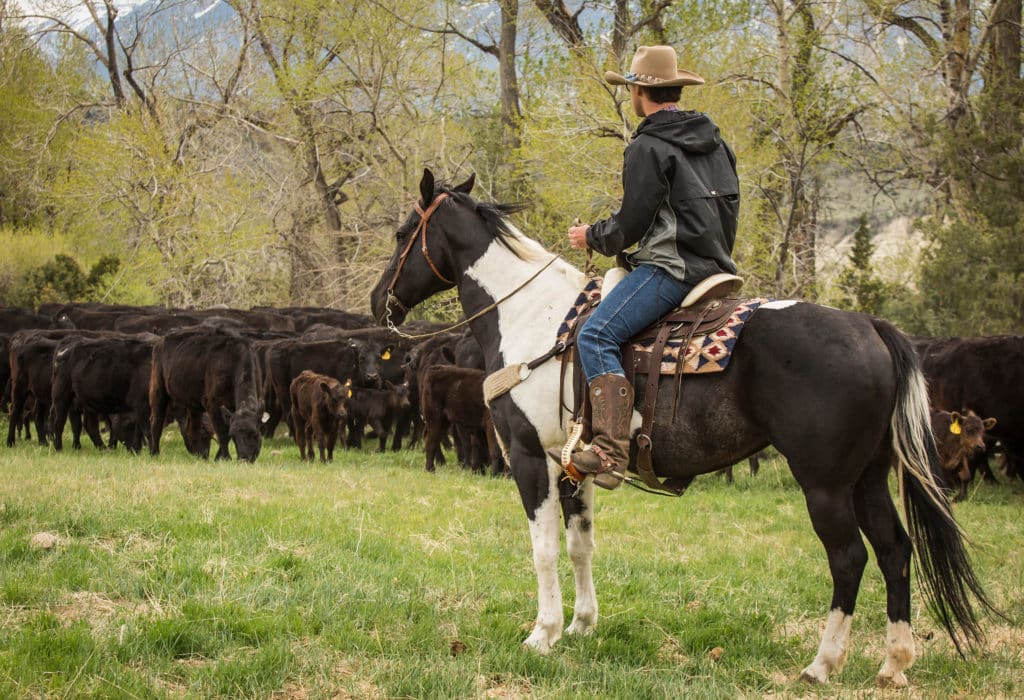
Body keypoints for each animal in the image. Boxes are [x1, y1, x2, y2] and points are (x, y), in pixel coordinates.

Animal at [368, 167, 991, 683]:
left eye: (402, 234)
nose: (379, 303)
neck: (532, 318)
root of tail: (869, 326)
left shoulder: (528, 455)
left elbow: (543, 547)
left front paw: (542, 634)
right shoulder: (575, 463)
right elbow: (579, 544)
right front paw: (582, 626)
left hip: (825, 485)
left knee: (850, 558)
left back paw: (822, 663)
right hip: (868, 479)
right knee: (894, 551)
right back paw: (893, 665)